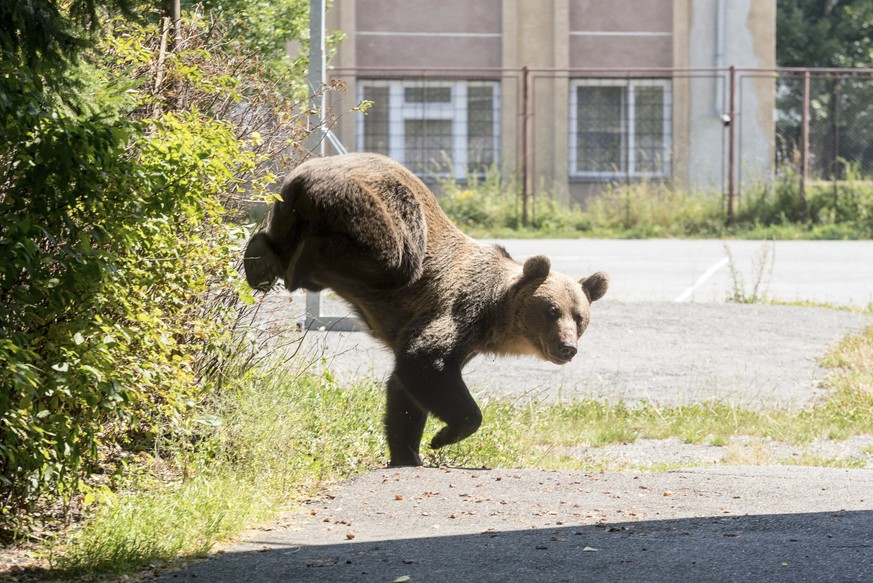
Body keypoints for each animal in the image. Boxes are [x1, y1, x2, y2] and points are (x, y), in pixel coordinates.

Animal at [240, 153, 608, 468]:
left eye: (580, 318)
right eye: (551, 311)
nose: (567, 347)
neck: (495, 316)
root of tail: (305, 173)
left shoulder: (467, 341)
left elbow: (403, 392)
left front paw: (407, 451)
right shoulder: (460, 308)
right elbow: (424, 361)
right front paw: (442, 437)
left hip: (289, 209)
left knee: (278, 239)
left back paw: (259, 259)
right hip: (378, 210)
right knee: (393, 256)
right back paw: (299, 264)